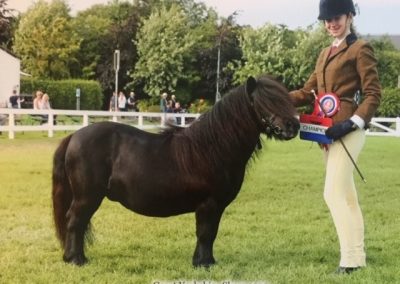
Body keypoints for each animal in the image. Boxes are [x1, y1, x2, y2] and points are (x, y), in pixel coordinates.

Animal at [51, 75, 298, 266]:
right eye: (264, 101)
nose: (292, 126)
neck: (214, 148)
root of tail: (74, 136)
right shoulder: (209, 204)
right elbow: (205, 233)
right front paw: (204, 263)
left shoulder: (215, 207)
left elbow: (210, 233)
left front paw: (205, 261)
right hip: (87, 197)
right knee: (75, 221)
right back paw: (75, 259)